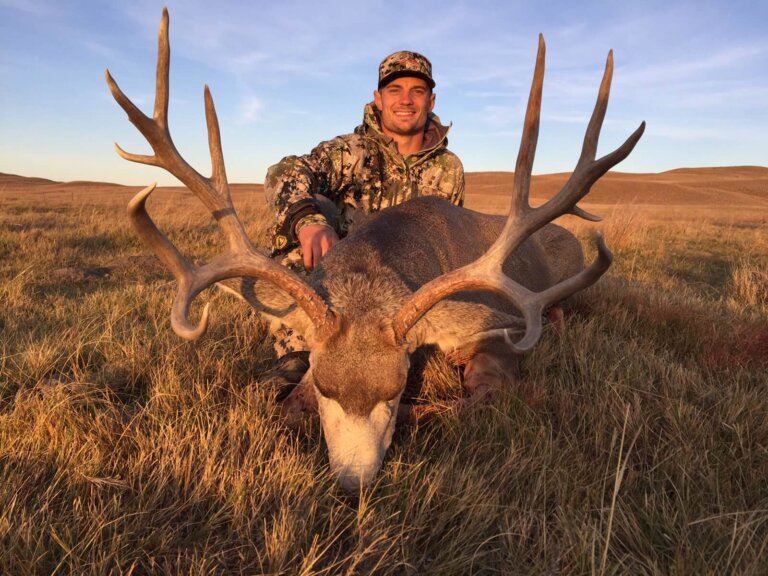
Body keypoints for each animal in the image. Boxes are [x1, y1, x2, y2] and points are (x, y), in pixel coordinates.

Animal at [106, 9, 645, 491]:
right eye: (325, 386)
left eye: (396, 386)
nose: (353, 482)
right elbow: (285, 406)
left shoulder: (497, 335)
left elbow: (474, 401)